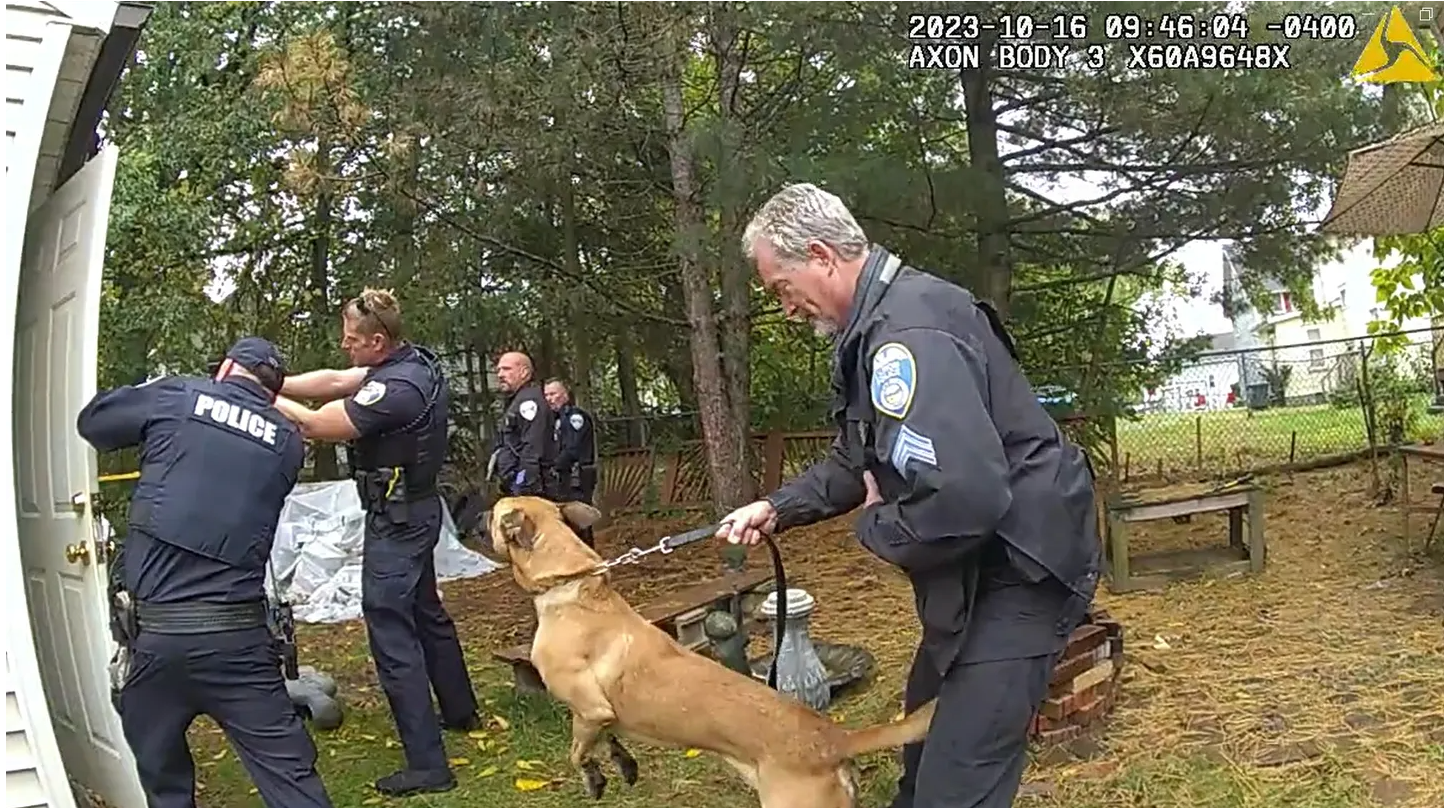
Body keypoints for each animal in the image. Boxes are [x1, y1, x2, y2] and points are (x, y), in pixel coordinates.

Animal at [485, 496, 935, 802]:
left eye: (492, 514)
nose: (475, 512)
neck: (572, 583)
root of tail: (834, 739)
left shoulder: (589, 709)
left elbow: (577, 752)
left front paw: (594, 777)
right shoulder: (602, 714)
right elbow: (608, 740)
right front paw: (622, 763)